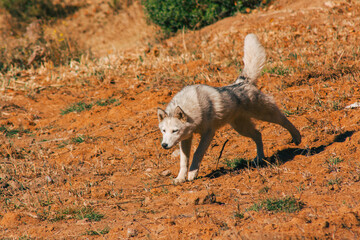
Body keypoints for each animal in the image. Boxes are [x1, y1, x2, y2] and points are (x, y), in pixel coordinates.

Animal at [158, 33, 300, 184]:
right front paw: (180, 178)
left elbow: (197, 154)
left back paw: (297, 137)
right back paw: (259, 158)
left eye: (175, 131)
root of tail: (242, 81)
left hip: (264, 114)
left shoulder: (208, 133)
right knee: (258, 134)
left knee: (284, 120)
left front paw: (192, 174)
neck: (193, 106)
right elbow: (183, 161)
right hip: (241, 128)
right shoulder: (186, 138)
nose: (164, 145)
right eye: (163, 131)